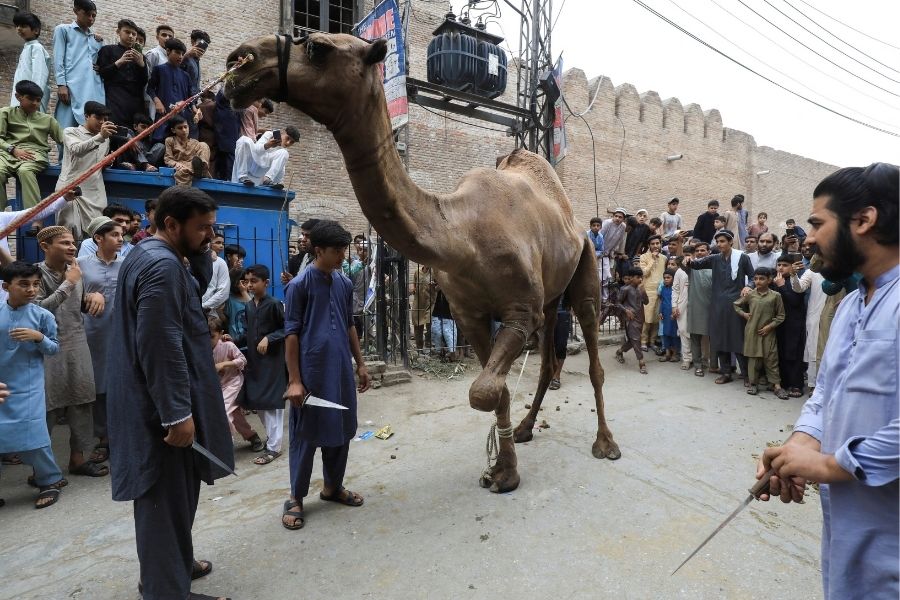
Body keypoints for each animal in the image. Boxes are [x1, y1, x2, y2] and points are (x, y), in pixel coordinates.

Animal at [225, 34, 620, 492]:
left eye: (318, 47)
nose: (240, 61)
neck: (463, 235)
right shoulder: (469, 313)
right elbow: (494, 390)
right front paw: (504, 470)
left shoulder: (520, 311)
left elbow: (483, 391)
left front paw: (505, 468)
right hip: (554, 293)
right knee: (548, 359)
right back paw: (524, 428)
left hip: (586, 263)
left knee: (593, 356)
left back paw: (606, 443)